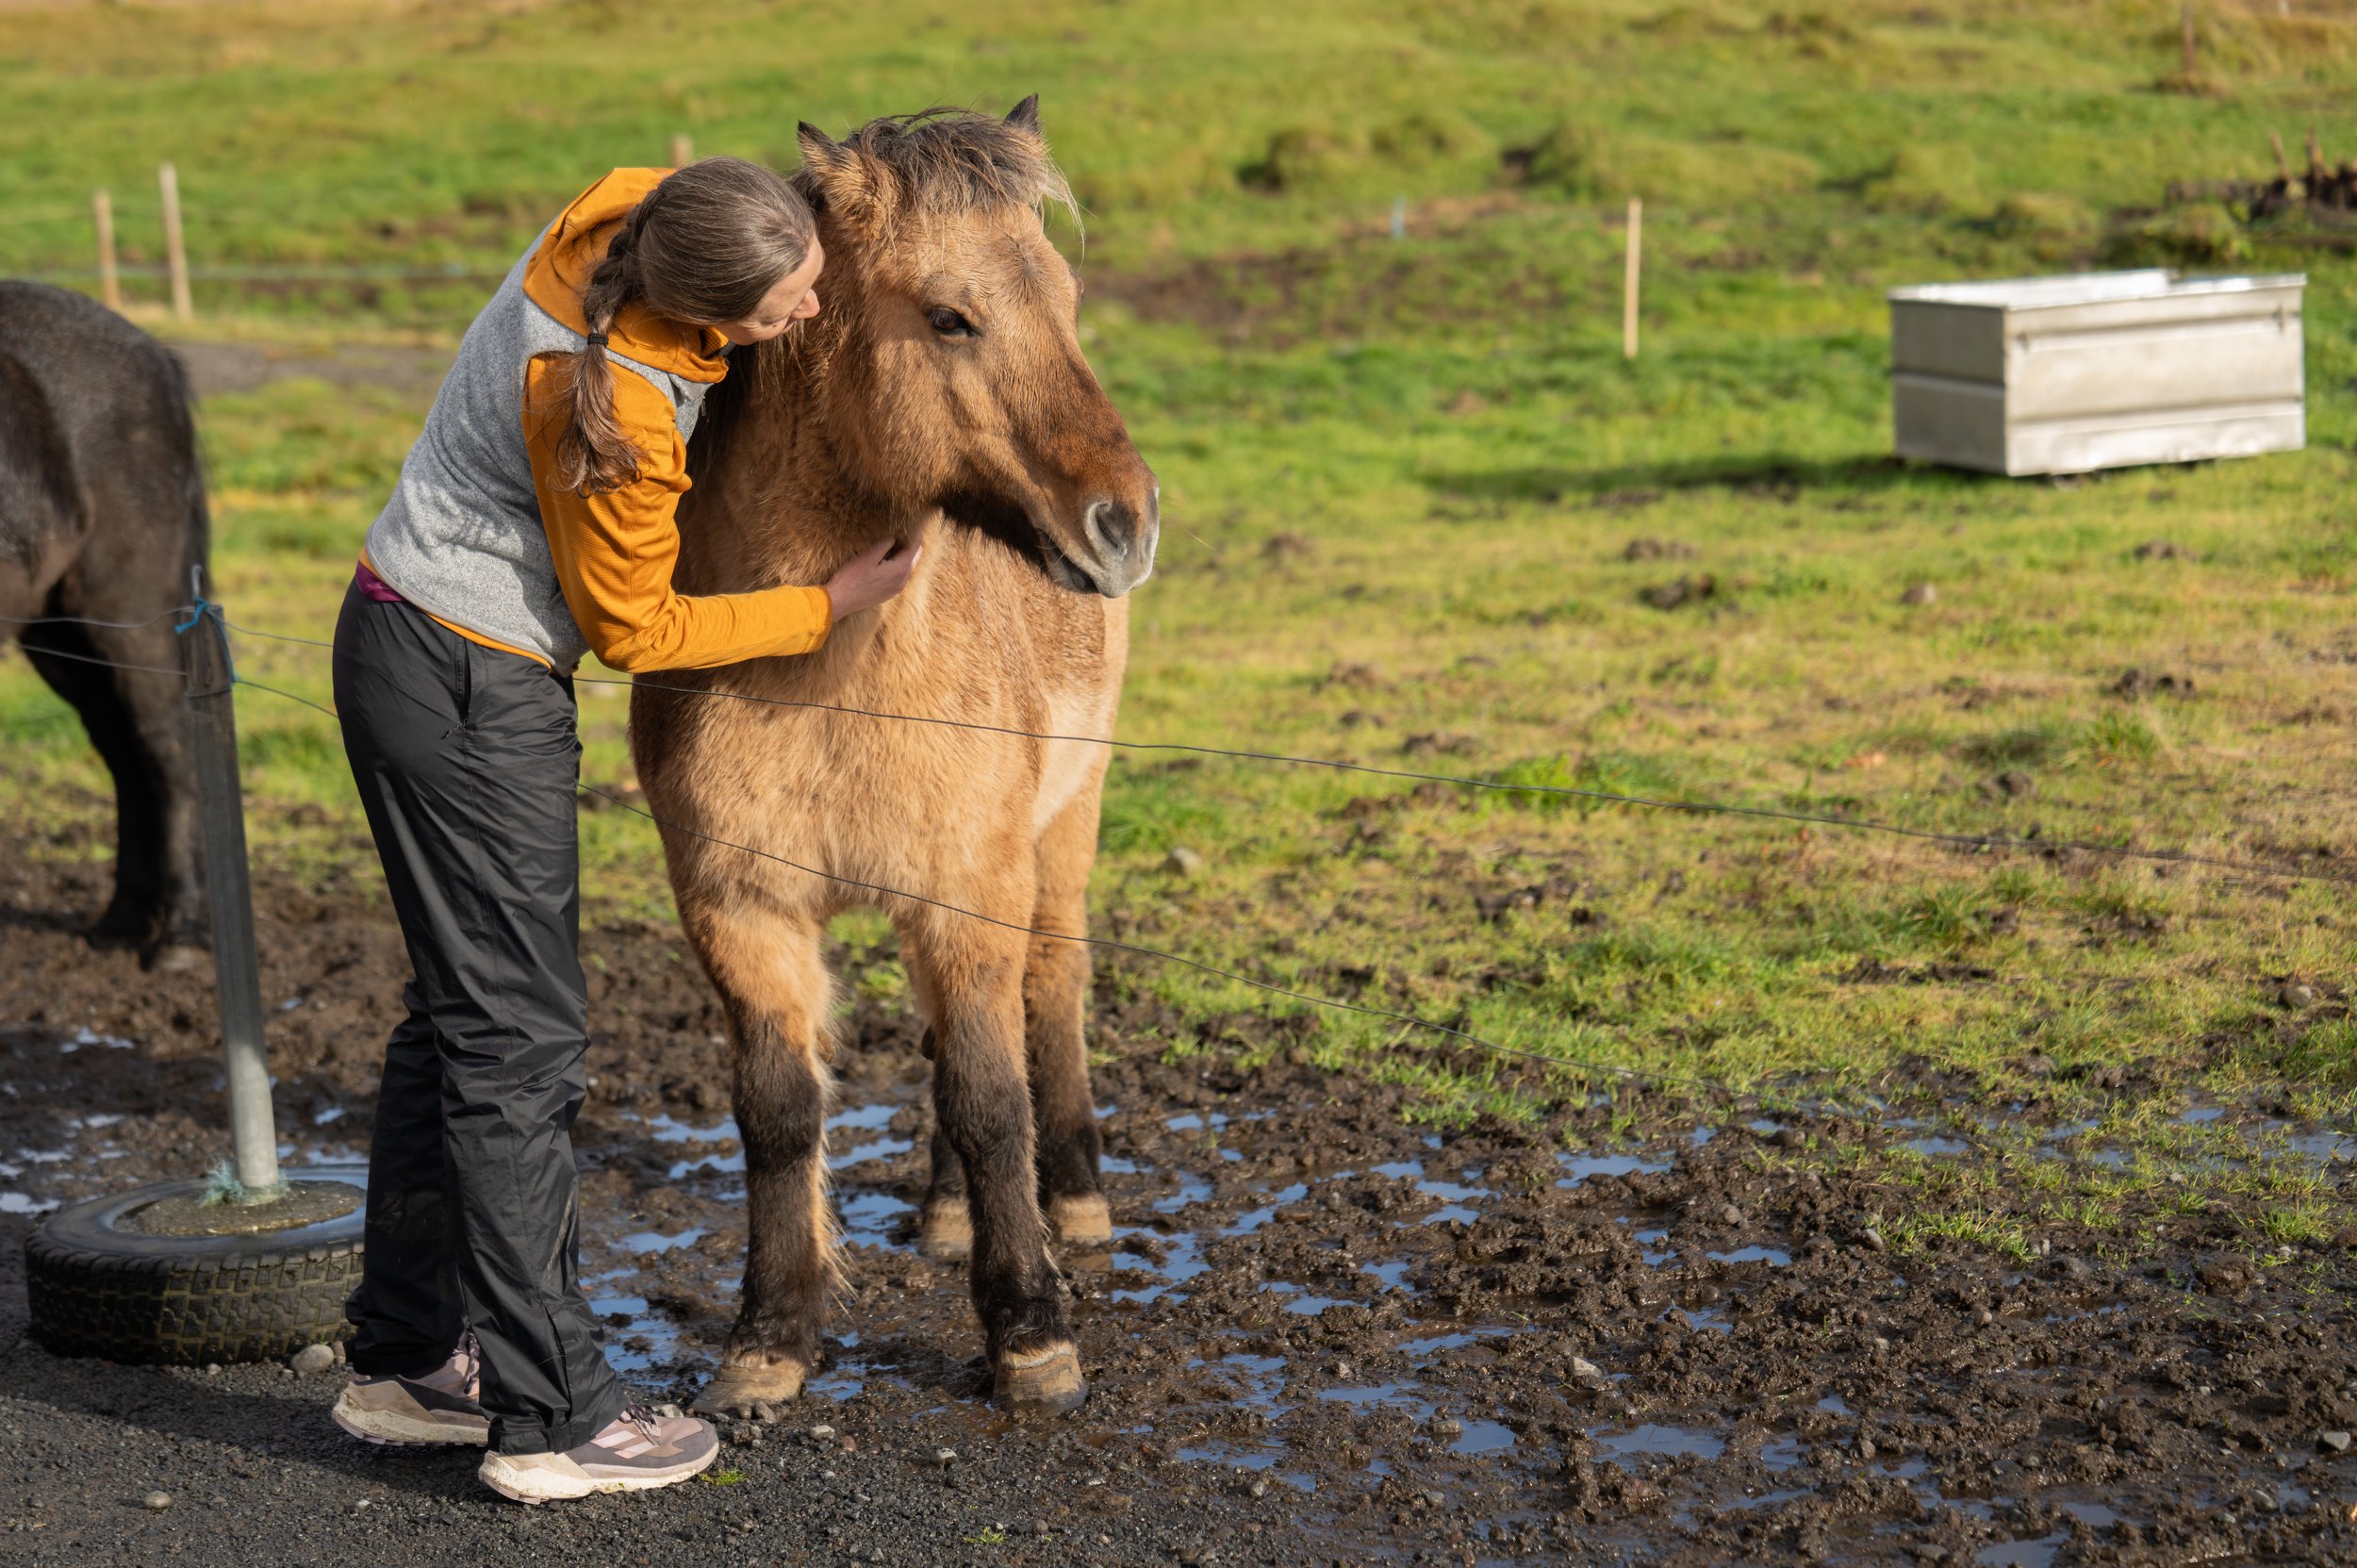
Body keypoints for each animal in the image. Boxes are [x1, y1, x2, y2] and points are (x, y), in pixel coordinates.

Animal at [0, 281, 210, 969]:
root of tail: (153, 353)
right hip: (58, 635)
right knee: (124, 755)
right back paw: (124, 920)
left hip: (127, 614)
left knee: (167, 746)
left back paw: (181, 936)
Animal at [632, 100, 1158, 1417]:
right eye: (951, 315)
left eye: (1068, 299)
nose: (1127, 522)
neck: (826, 678)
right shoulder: (737, 905)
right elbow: (780, 1111)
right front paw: (770, 1337)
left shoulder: (969, 895)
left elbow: (991, 1098)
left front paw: (1029, 1333)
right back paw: (945, 1217)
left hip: (1061, 832)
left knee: (1050, 993)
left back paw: (1075, 1199)